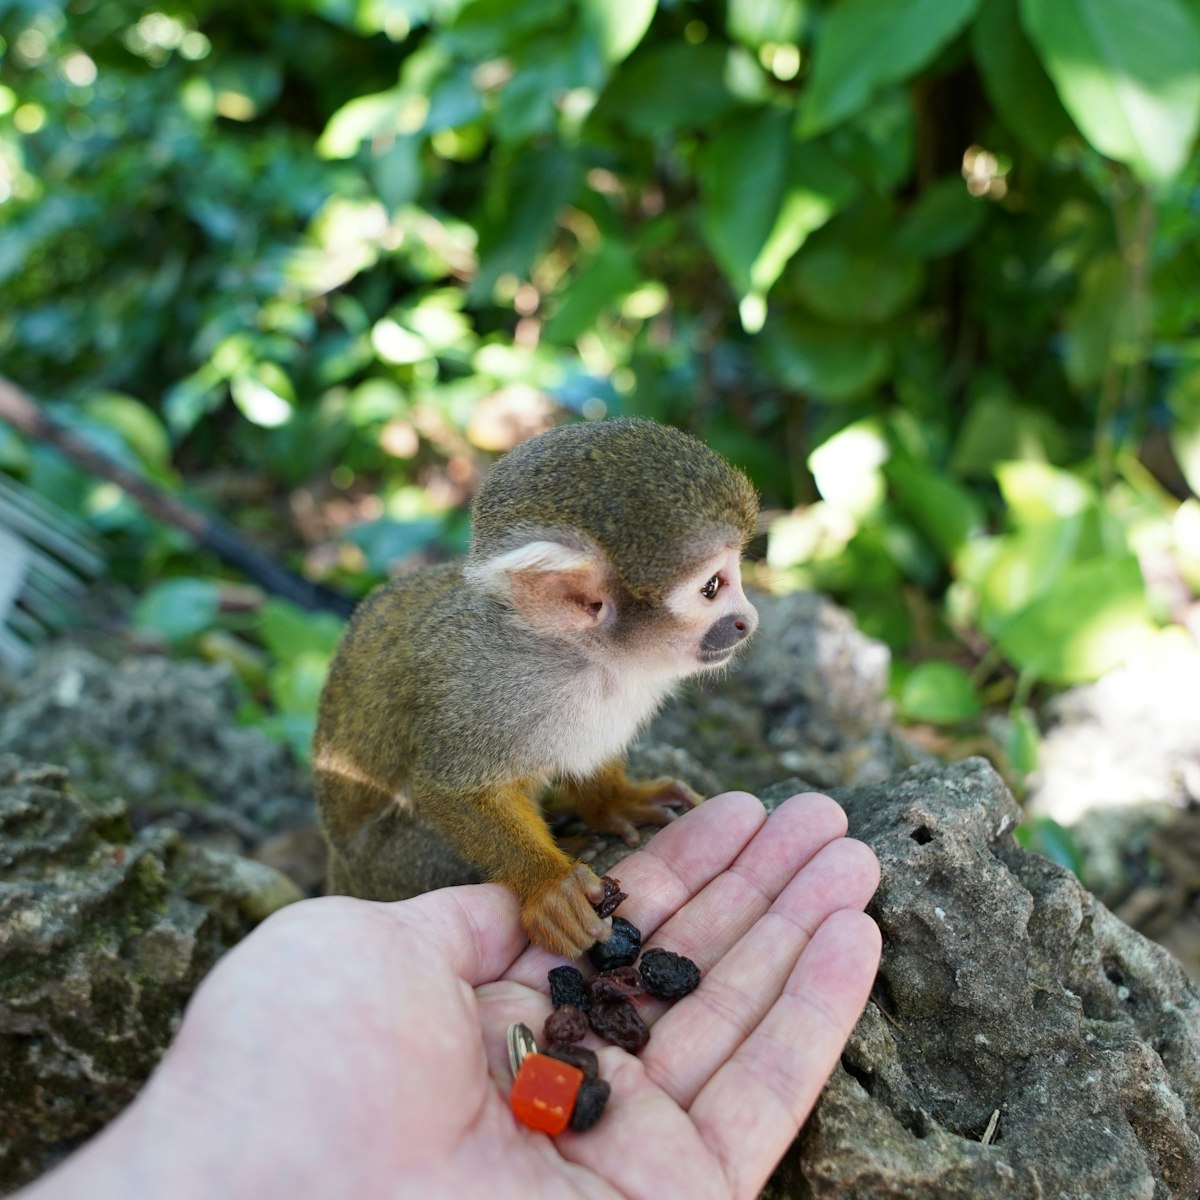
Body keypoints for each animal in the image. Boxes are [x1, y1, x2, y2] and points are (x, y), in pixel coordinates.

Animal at [312, 420, 758, 955]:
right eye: (712, 587)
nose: (748, 620)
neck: (589, 660)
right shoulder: (485, 688)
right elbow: (447, 790)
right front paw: (549, 885)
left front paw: (612, 802)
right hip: (393, 867)